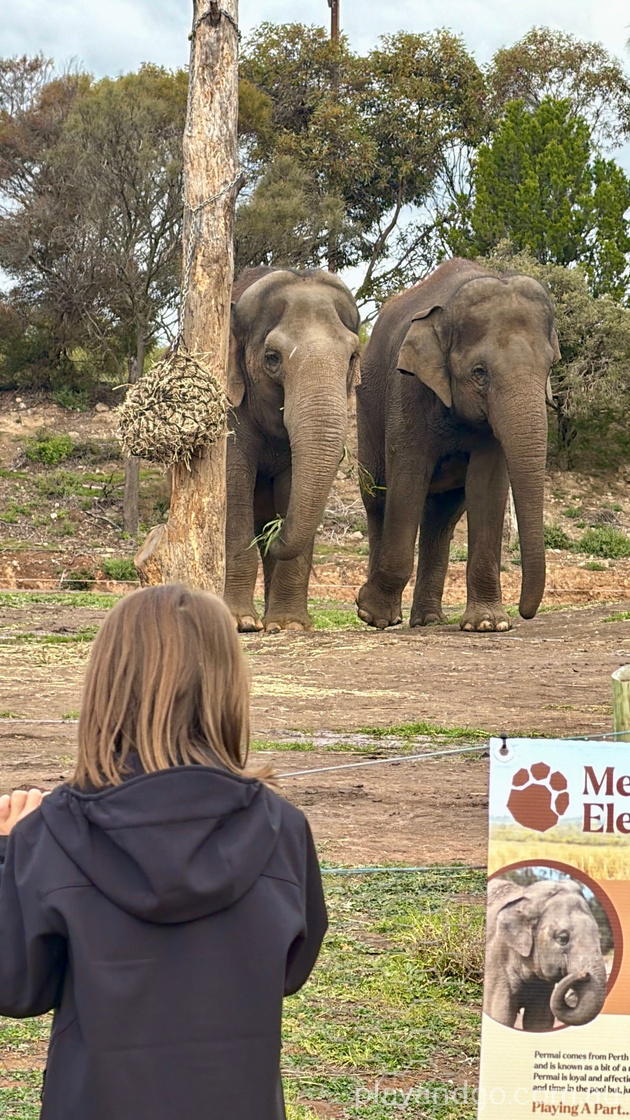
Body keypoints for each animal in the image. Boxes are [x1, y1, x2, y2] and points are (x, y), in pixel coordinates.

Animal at [225, 266, 361, 632]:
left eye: (352, 357)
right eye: (272, 357)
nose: (276, 534)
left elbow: (291, 488)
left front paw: (290, 626)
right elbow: (233, 483)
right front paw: (241, 622)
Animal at [355, 257, 560, 632]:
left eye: (550, 366)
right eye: (480, 372)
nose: (525, 612)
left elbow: (487, 486)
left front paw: (488, 625)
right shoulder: (407, 389)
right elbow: (407, 476)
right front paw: (371, 613)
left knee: (442, 517)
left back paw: (428, 621)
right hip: (367, 407)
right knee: (377, 495)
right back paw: (379, 616)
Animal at [484, 877, 609, 1031]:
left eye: (597, 932)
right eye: (562, 938)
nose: (584, 974)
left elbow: (540, 1021)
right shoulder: (495, 961)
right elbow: (500, 1015)